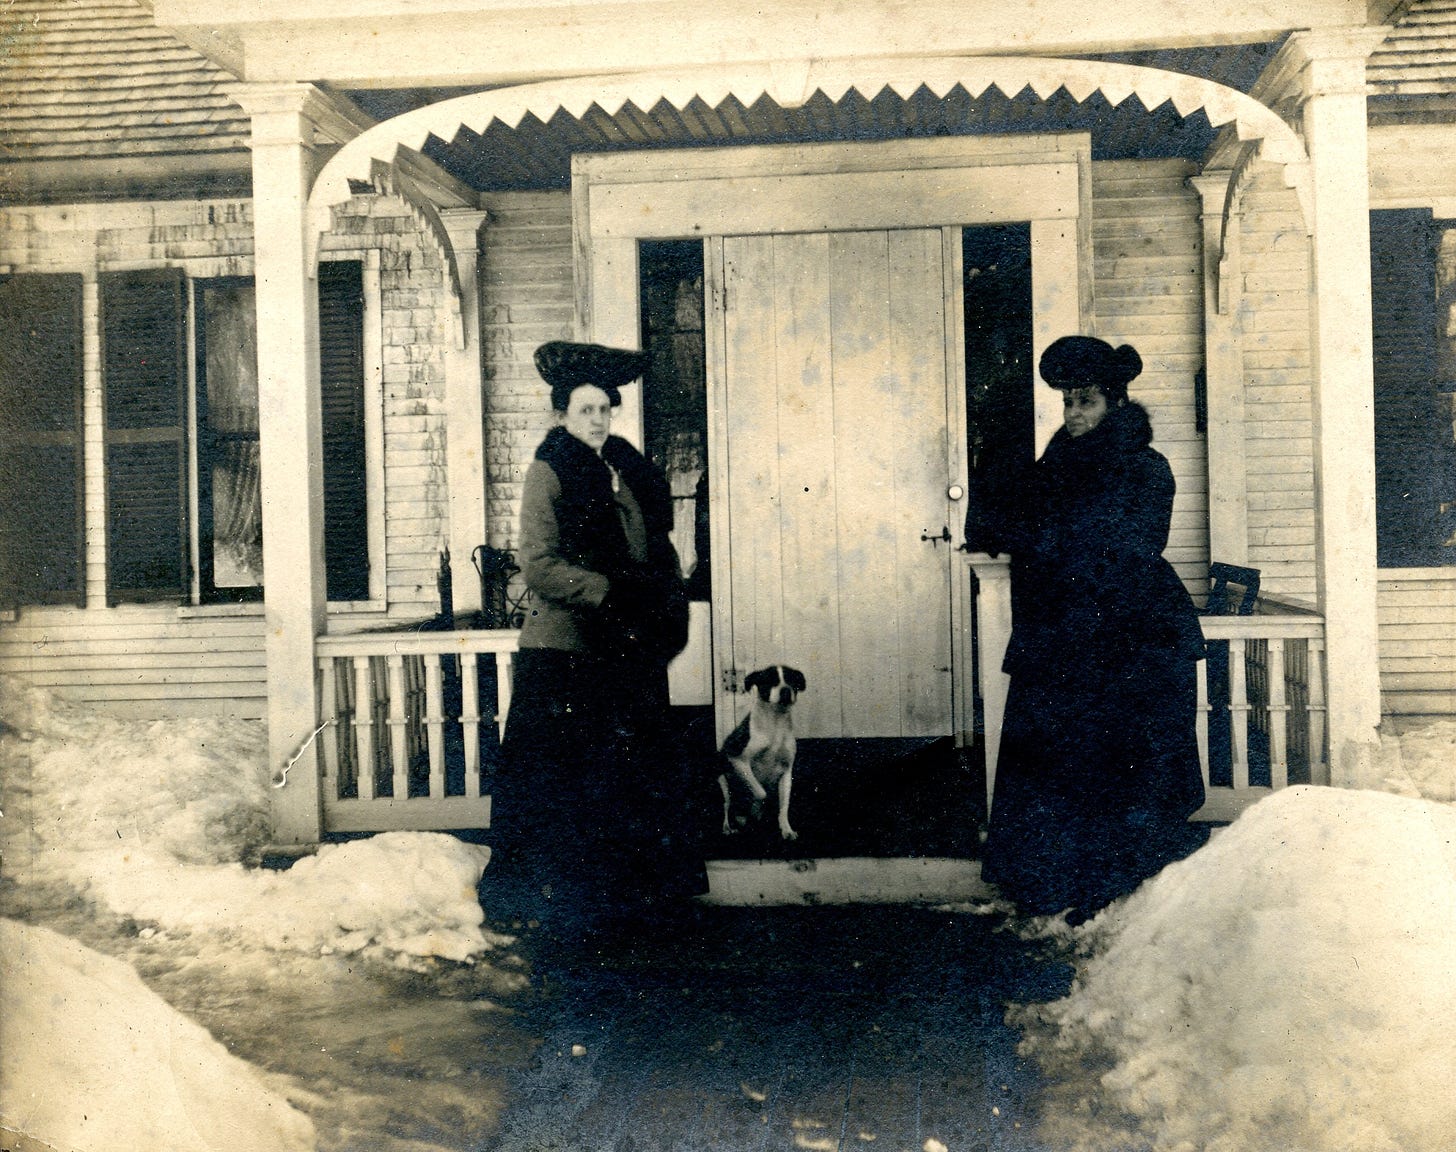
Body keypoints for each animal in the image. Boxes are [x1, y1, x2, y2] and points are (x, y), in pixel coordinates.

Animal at [719, 667, 809, 838]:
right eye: (770, 680)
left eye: (791, 680)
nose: (785, 690)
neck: (775, 722)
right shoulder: (737, 759)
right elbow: (761, 792)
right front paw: (756, 807)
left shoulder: (786, 772)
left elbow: (784, 806)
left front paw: (786, 830)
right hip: (722, 782)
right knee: (727, 806)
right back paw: (729, 826)